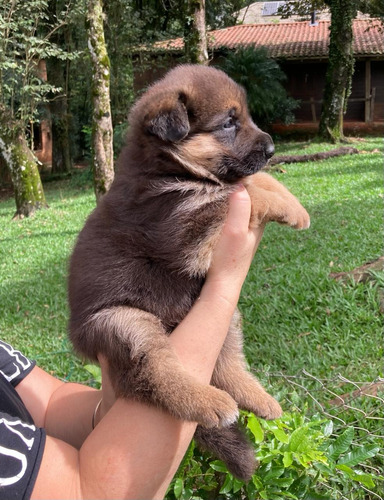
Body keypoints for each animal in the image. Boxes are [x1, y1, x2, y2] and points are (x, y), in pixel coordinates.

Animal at [68, 64, 308, 478]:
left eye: (245, 117)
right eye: (229, 122)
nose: (273, 149)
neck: (168, 167)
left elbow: (253, 181)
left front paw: (295, 204)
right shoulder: (187, 235)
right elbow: (239, 194)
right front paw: (287, 207)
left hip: (224, 314)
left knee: (227, 363)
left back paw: (258, 399)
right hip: (124, 322)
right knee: (155, 371)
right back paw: (209, 402)